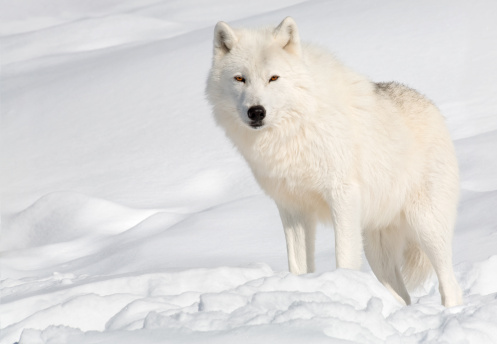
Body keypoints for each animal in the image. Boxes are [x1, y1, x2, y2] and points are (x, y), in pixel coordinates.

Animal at [204, 16, 462, 306]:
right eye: (240, 79)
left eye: (273, 78)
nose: (256, 112)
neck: (294, 131)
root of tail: (433, 108)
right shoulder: (292, 208)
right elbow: (298, 265)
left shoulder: (342, 195)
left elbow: (344, 256)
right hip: (377, 250)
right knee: (402, 297)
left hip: (426, 227)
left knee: (451, 285)